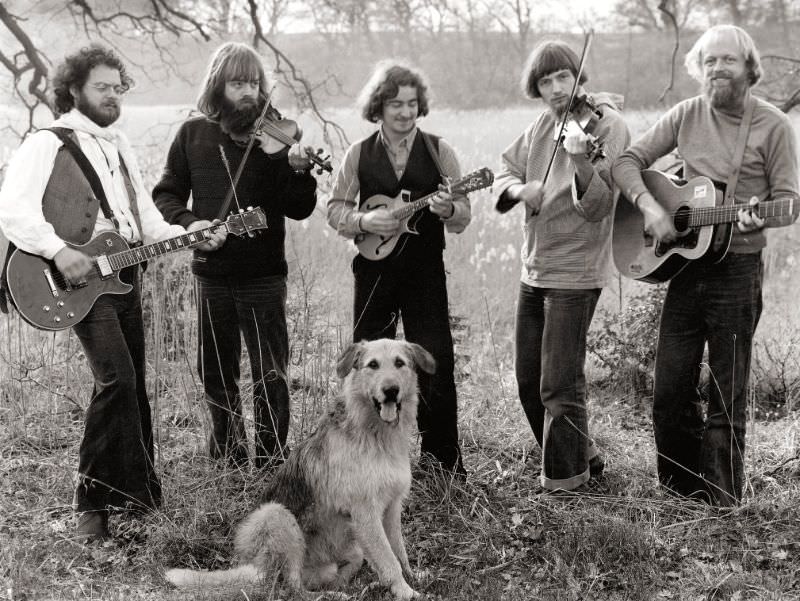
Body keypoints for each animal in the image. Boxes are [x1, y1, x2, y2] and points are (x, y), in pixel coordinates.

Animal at [165, 340, 434, 596]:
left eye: (399, 363)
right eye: (373, 365)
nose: (391, 390)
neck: (376, 436)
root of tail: (253, 568)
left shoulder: (391, 508)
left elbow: (398, 550)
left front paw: (411, 577)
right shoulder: (366, 513)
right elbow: (388, 559)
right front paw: (405, 591)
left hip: (351, 549)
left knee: (324, 578)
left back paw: (352, 587)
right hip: (276, 515)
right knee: (292, 588)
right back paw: (333, 595)